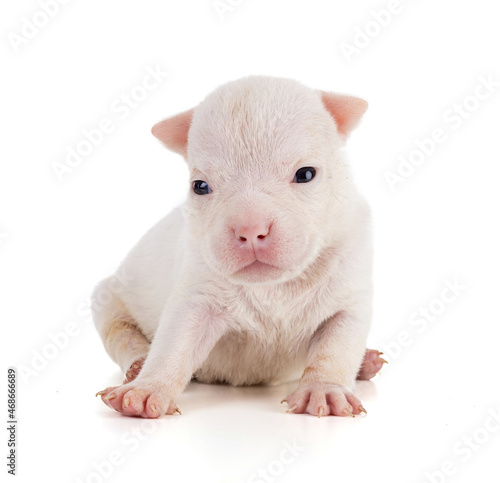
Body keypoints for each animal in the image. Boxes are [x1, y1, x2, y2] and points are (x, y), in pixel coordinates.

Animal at [94, 75, 382, 420]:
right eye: (200, 186)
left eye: (306, 174)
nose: (250, 229)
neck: (274, 287)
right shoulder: (197, 295)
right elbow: (174, 343)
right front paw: (144, 391)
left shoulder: (349, 291)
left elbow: (337, 347)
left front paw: (325, 391)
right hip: (107, 299)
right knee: (121, 335)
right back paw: (137, 367)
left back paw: (366, 362)